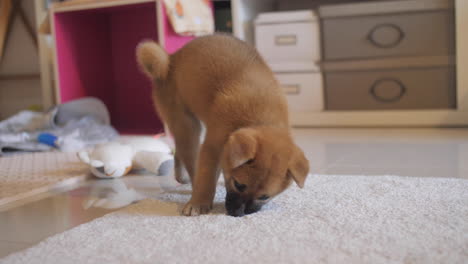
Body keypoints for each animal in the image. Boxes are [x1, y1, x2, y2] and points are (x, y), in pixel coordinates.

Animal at [137, 34, 308, 216]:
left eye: (264, 197)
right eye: (239, 185)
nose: (240, 213)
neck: (261, 118)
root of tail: (170, 61)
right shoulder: (213, 148)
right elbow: (206, 176)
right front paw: (199, 203)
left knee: (179, 150)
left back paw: (181, 176)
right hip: (187, 125)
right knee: (190, 157)